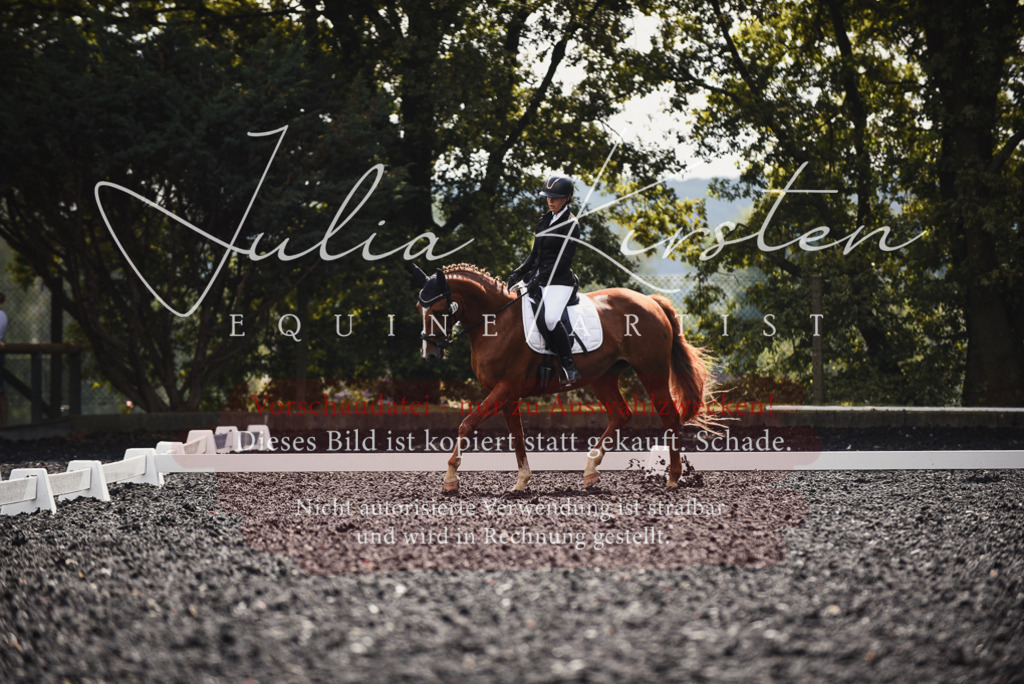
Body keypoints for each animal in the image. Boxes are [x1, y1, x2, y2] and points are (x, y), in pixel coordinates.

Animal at [413, 263, 711, 493]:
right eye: (419, 308)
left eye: (438, 310)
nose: (430, 354)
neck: (496, 322)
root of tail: (651, 301)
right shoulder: (508, 394)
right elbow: (517, 436)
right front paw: (521, 482)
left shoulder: (505, 388)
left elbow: (466, 424)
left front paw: (450, 480)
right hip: (602, 377)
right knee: (621, 414)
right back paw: (590, 471)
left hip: (652, 373)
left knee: (669, 418)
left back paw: (673, 478)